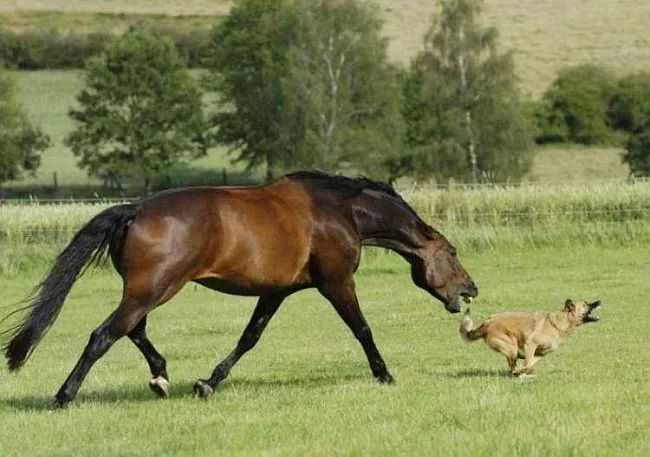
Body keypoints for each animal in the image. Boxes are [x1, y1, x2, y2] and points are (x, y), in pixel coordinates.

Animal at [1, 169, 476, 404]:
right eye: (452, 253)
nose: (471, 290)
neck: (340, 211)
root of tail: (134, 209)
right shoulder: (337, 282)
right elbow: (362, 329)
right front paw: (385, 375)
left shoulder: (276, 291)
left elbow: (249, 338)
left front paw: (207, 384)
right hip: (153, 289)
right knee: (104, 335)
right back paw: (64, 396)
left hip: (146, 291)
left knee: (132, 331)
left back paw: (161, 379)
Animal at [458, 298, 600, 376]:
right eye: (586, 304)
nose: (600, 301)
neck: (559, 323)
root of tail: (487, 322)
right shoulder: (530, 345)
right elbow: (527, 363)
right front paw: (521, 372)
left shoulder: (541, 353)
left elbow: (529, 364)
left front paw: (524, 371)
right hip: (512, 347)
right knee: (511, 369)